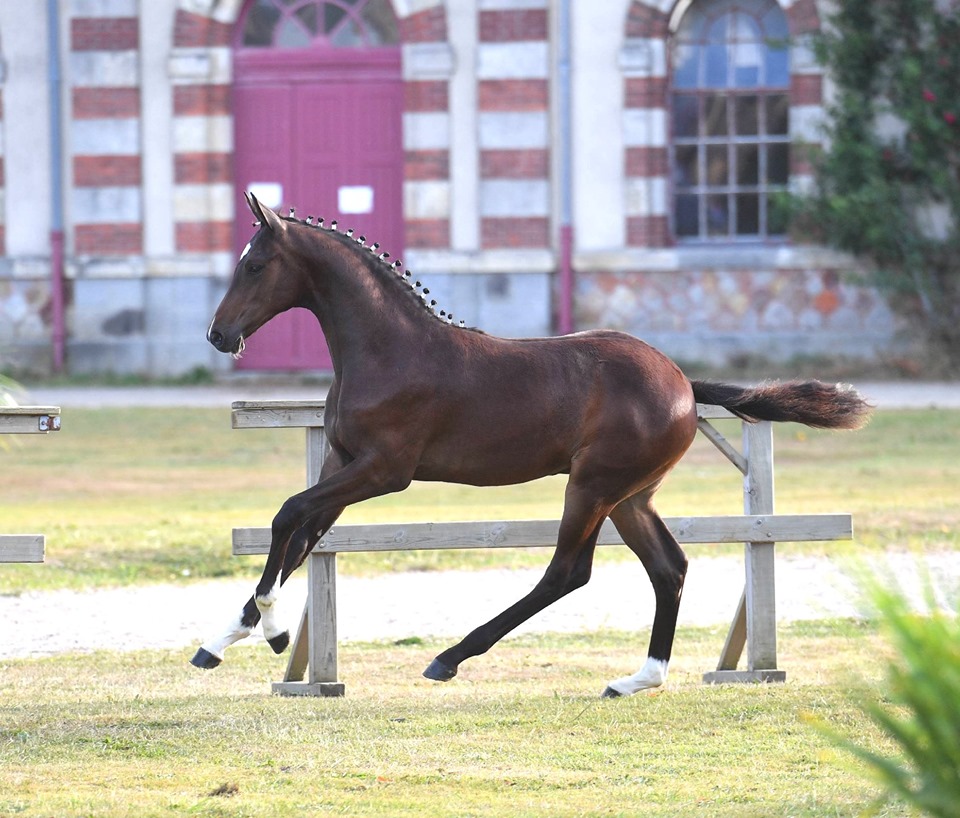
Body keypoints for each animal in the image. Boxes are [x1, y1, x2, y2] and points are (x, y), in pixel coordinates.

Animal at [189, 193, 872, 696]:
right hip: (631, 496)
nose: (219, 334)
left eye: (254, 265)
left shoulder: (385, 470)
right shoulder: (342, 462)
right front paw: (224, 640)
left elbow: (289, 516)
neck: (388, 349)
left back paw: (451, 657)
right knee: (668, 568)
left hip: (592, 485)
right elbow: (302, 534)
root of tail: (683, 381)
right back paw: (639, 679)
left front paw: (272, 629)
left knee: (569, 571)